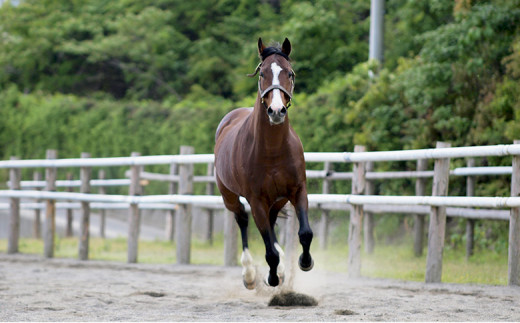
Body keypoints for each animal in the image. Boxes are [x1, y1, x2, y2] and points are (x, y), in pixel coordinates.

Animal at [214, 38, 312, 292]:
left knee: (271, 221)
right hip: (229, 196)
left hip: (278, 200)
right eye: (262, 74)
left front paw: (304, 262)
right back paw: (250, 275)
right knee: (242, 220)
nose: (276, 111)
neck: (273, 150)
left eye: (290, 73)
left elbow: (305, 233)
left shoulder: (297, 190)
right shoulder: (256, 200)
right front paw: (272, 278)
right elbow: (269, 252)